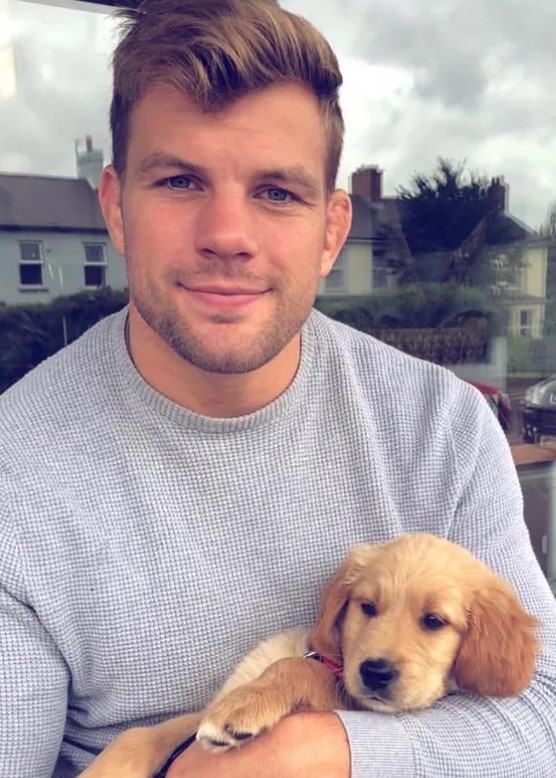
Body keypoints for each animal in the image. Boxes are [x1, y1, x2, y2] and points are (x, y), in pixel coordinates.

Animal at [83, 532, 540, 776]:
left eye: (434, 621)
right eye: (367, 607)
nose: (375, 672)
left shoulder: (343, 698)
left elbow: (301, 671)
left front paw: (248, 704)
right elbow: (141, 734)